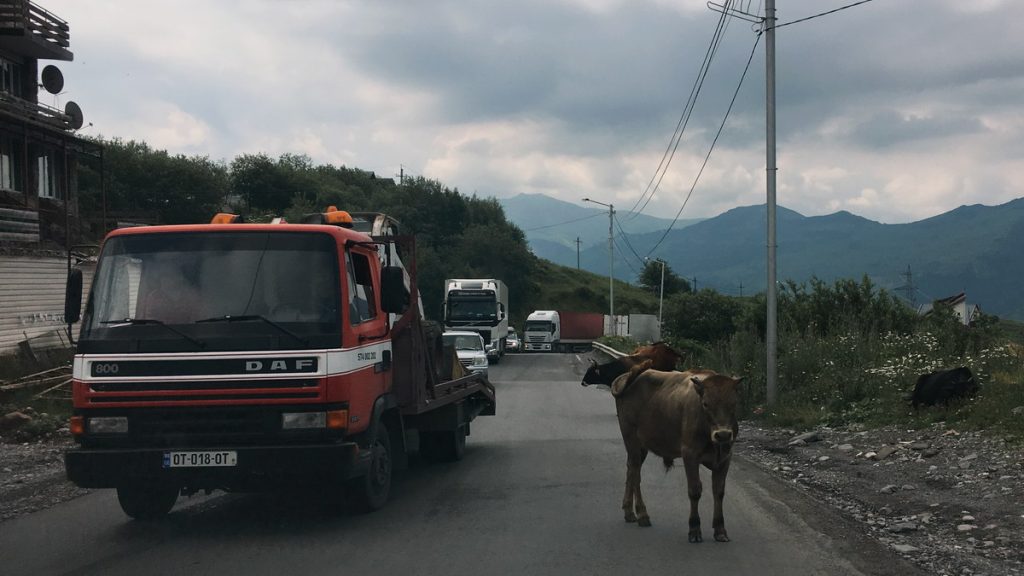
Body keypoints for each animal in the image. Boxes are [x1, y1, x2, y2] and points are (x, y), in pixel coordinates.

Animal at [610, 360, 741, 541]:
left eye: (733, 403)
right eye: (706, 403)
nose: (722, 434)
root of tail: (630, 376)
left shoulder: (725, 458)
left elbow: (719, 492)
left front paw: (720, 529)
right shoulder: (690, 455)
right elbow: (694, 490)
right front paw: (694, 529)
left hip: (641, 447)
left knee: (630, 469)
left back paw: (629, 512)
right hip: (632, 440)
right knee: (636, 474)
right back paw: (642, 515)